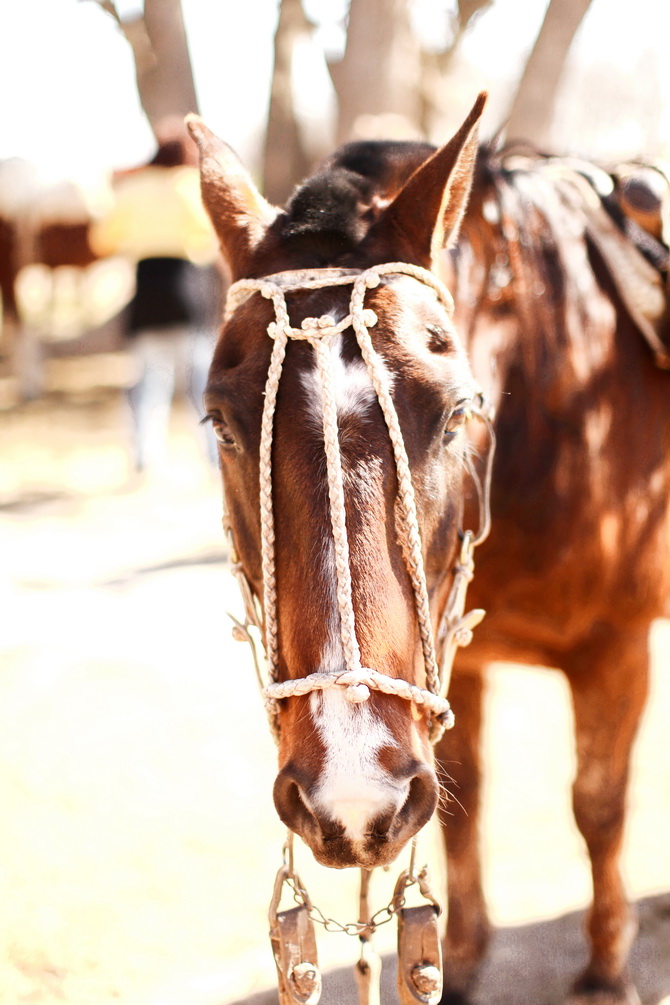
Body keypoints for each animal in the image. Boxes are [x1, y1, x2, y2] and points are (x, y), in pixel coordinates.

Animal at [185, 94, 666, 1005]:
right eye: (223, 425)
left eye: (452, 415)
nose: (351, 794)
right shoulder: (449, 655)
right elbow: (460, 793)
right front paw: (465, 958)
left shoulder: (613, 642)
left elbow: (598, 802)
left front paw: (605, 969)